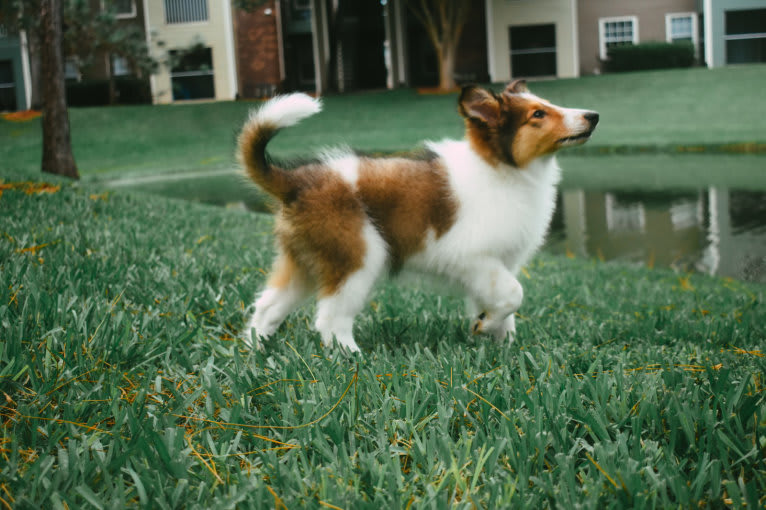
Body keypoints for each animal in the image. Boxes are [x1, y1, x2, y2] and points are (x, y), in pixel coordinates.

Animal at [240, 79, 600, 352]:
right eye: (538, 114)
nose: (593, 115)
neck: (502, 170)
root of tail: (295, 182)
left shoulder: (495, 266)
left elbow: (501, 304)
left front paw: (497, 337)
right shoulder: (474, 258)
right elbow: (514, 295)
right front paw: (486, 328)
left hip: (304, 263)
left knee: (267, 307)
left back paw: (254, 351)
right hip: (356, 257)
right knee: (330, 317)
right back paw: (353, 357)